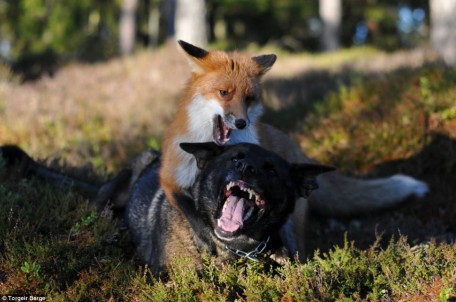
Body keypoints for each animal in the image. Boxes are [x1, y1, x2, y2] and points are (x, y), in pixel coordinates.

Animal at [159, 39, 428, 258]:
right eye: (224, 93)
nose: (242, 122)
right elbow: (194, 215)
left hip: (293, 224)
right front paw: (207, 241)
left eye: (249, 99)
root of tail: (294, 147)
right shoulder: (171, 179)